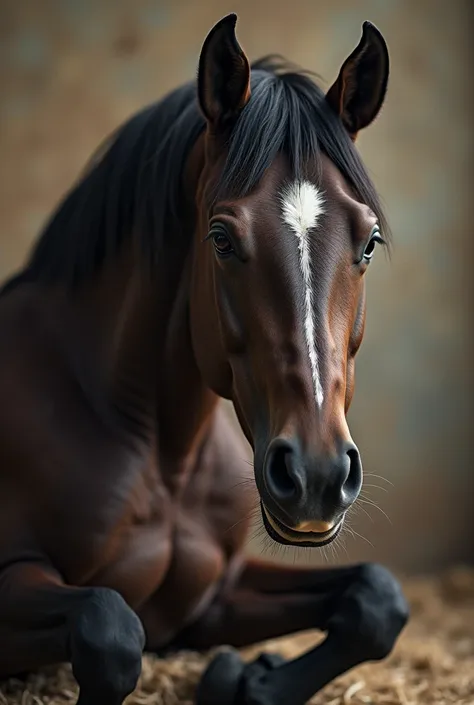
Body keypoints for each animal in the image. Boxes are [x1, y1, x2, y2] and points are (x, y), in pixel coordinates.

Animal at [0, 12, 408, 704]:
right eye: (220, 237)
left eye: (370, 241)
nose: (318, 475)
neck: (163, 453)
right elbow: (109, 631)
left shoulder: (211, 598)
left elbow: (376, 599)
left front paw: (249, 679)